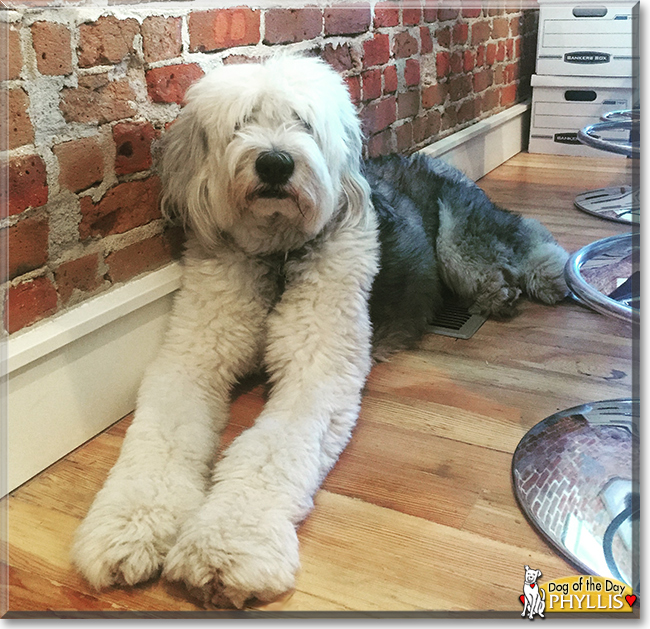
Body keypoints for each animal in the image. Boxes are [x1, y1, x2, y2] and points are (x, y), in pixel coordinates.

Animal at [72, 55, 568, 608]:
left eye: (303, 122)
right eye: (242, 122)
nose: (275, 163)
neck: (276, 256)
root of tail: (428, 158)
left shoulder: (318, 371)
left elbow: (268, 453)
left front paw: (227, 550)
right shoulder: (190, 359)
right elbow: (160, 438)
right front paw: (128, 530)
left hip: (461, 243)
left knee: (522, 234)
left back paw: (548, 277)